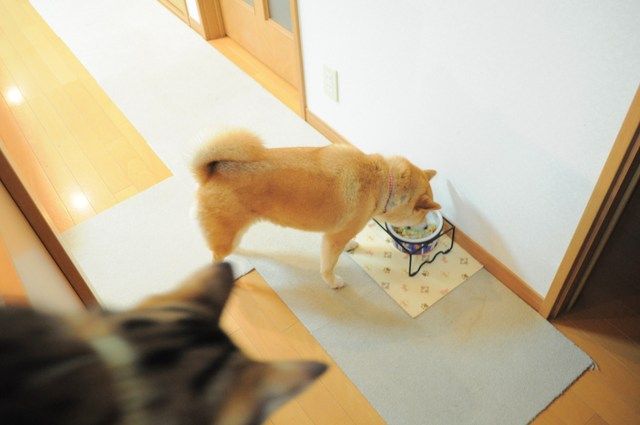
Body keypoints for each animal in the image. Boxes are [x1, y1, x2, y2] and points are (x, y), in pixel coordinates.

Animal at [192, 129, 440, 289]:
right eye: (423, 213)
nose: (426, 227)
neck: (380, 183)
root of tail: (211, 172)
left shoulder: (338, 233)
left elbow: (344, 244)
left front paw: (350, 245)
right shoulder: (333, 239)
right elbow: (328, 266)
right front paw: (333, 283)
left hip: (236, 230)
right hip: (226, 235)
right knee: (216, 255)